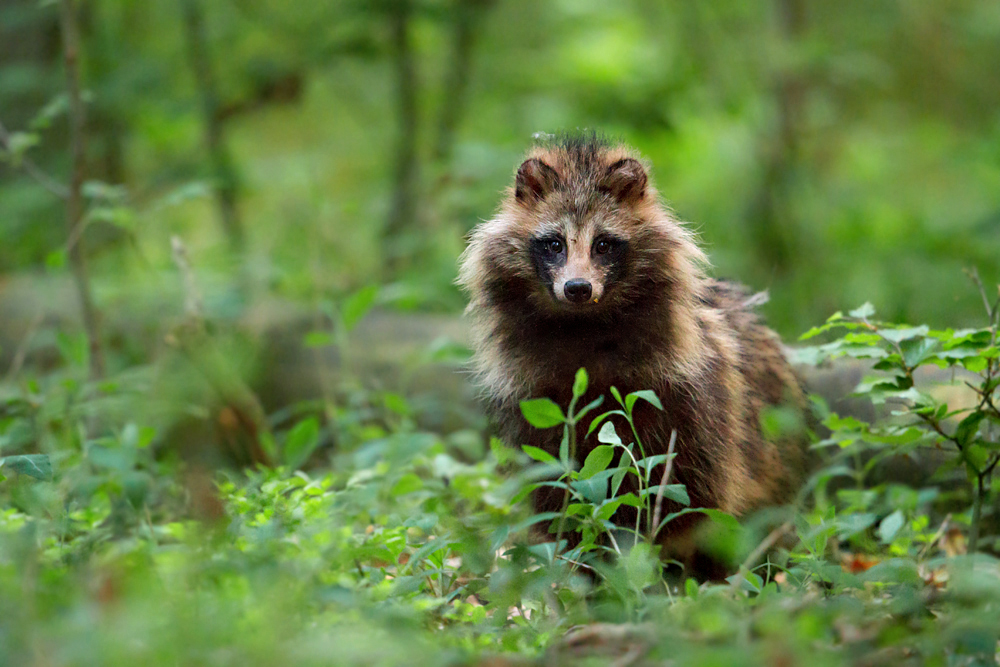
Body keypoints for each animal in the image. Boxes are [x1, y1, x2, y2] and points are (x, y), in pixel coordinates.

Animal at [458, 133, 808, 572]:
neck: (582, 328)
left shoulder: (683, 397)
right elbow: (555, 490)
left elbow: (689, 495)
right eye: (554, 244)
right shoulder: (534, 400)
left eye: (604, 244)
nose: (577, 288)